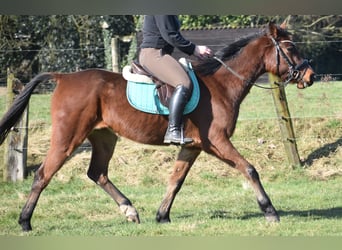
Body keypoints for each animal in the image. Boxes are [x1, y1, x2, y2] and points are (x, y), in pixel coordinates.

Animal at [0, 20, 316, 231]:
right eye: (290, 48)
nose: (310, 76)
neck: (223, 83)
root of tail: (63, 77)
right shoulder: (217, 141)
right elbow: (249, 169)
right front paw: (270, 211)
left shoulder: (194, 146)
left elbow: (176, 180)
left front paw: (162, 215)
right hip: (68, 137)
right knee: (43, 174)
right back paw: (25, 221)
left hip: (104, 137)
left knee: (97, 173)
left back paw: (130, 211)